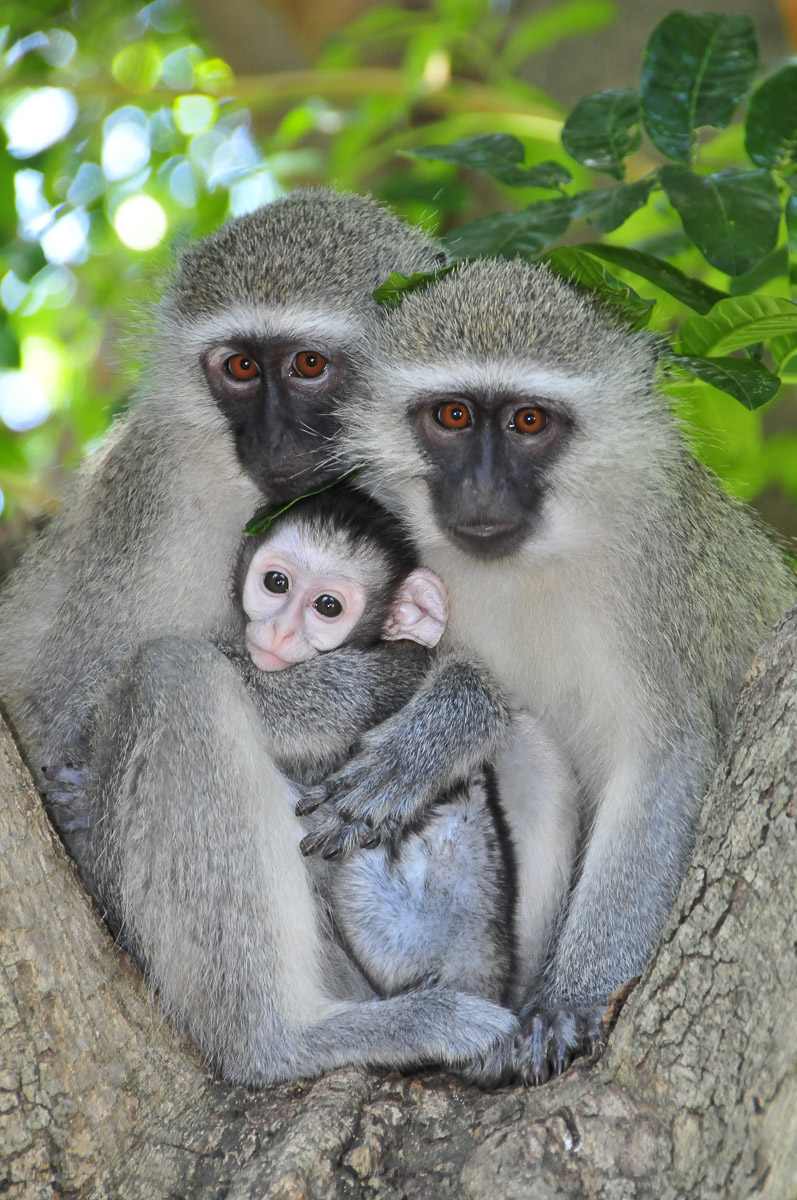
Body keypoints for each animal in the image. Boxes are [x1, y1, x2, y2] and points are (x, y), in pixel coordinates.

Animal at [300, 256, 797, 1084]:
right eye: (452, 417)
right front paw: (440, 729)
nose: (480, 488)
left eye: (528, 423)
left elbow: (662, 759)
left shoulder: (656, 567)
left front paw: (573, 999)